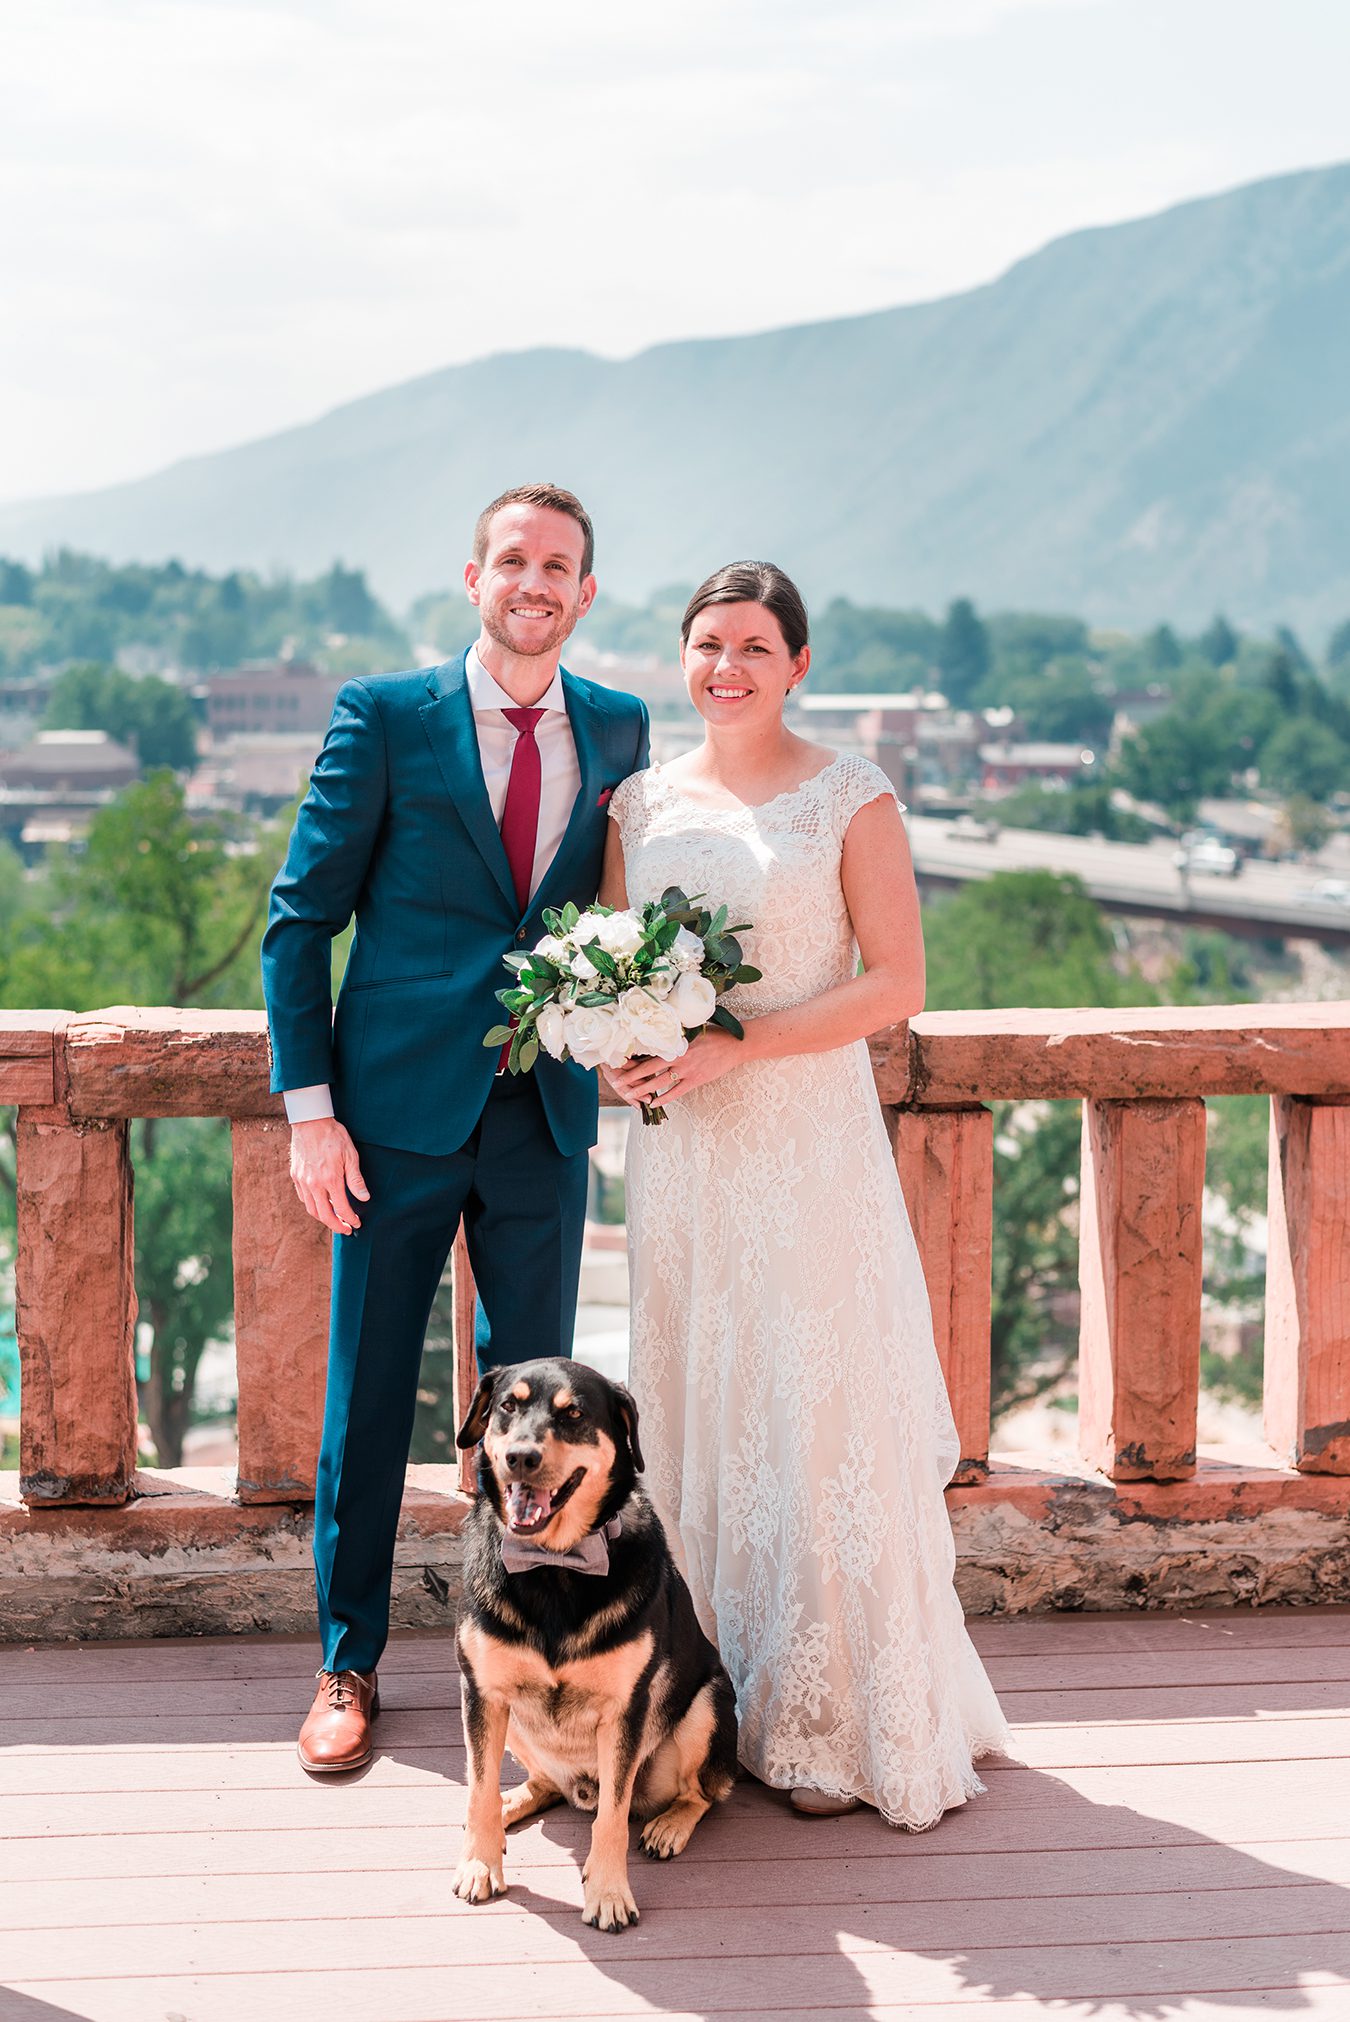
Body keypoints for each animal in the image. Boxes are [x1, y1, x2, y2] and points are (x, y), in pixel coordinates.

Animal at [450, 1358, 739, 1924]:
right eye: (507, 1406)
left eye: (574, 1414)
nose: (520, 1457)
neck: (553, 1566)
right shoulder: (482, 1693)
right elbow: (477, 1788)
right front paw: (478, 1862)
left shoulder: (625, 1710)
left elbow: (612, 1816)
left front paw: (608, 1892)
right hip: (512, 1718)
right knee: (537, 1784)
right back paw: (510, 1803)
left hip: (709, 1704)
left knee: (701, 1793)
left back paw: (669, 1825)